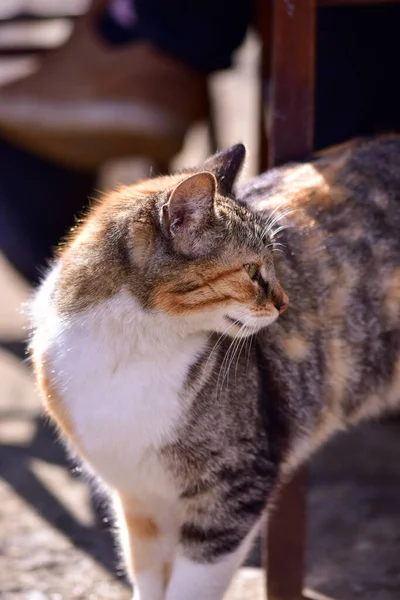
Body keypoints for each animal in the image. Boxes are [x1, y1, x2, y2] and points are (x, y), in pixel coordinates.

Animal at [29, 137, 400, 600]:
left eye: (277, 263)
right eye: (252, 270)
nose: (285, 304)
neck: (130, 347)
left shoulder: (233, 490)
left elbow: (191, 586)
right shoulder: (138, 498)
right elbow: (146, 575)